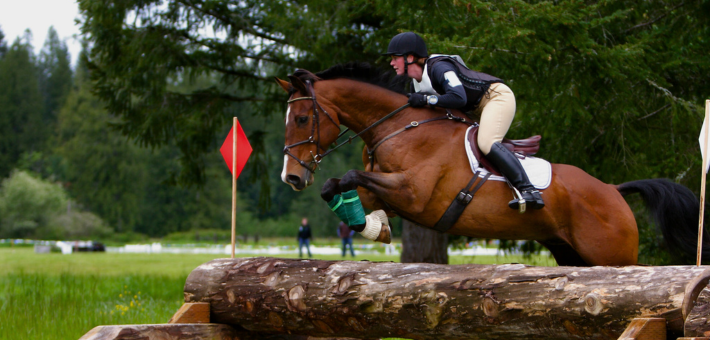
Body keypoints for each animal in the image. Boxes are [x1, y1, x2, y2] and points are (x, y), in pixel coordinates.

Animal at [276, 63, 708, 266]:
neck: (401, 126)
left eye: (303, 118)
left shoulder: (414, 195)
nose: (291, 177)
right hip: (570, 253)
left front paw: (373, 227)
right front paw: (373, 227)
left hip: (611, 256)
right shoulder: (389, 187)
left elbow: (349, 175)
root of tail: (613, 191)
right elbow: (340, 187)